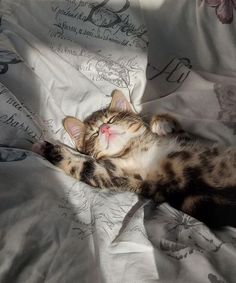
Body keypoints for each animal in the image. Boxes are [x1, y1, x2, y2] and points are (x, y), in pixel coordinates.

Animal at [33, 91, 236, 229]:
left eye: (112, 119)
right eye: (94, 134)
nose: (105, 128)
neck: (133, 147)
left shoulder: (186, 141)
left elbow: (173, 126)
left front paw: (160, 124)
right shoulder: (120, 176)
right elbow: (82, 166)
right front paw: (45, 147)